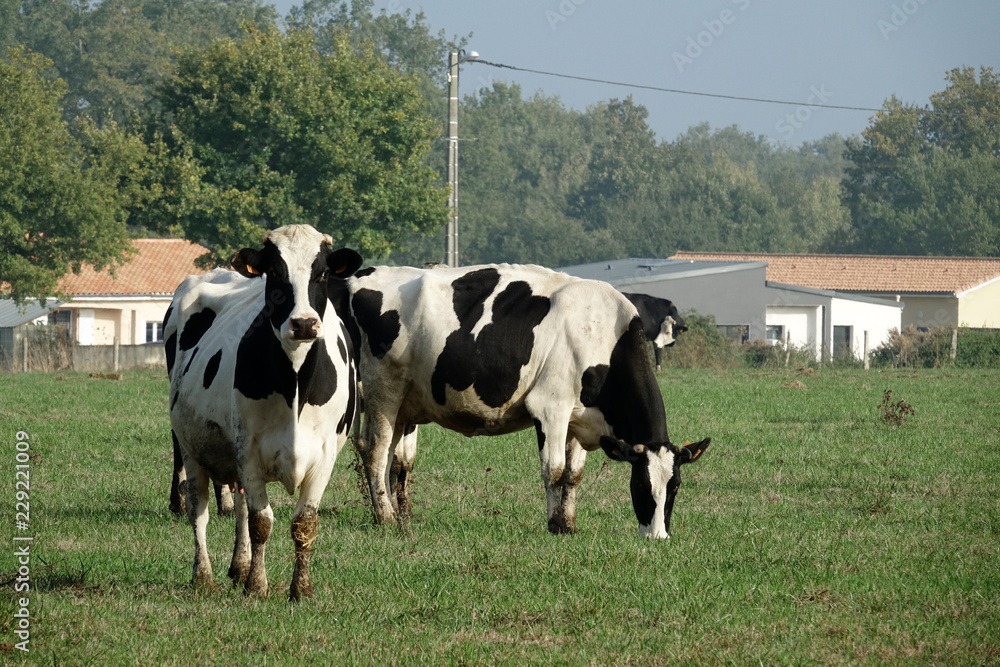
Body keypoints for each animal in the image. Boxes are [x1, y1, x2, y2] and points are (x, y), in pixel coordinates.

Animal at [164, 226, 364, 600]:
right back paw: (204, 576)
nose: (303, 324)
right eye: (274, 272)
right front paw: (257, 586)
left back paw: (238, 566)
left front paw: (301, 589)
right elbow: (262, 522)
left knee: (239, 508)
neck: (296, 382)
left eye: (323, 273)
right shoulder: (249, 451)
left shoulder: (325, 456)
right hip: (191, 447)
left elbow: (304, 523)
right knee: (199, 511)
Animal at [338, 264, 712, 540]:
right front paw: (555, 525)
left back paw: (395, 516)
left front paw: (569, 523)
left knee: (394, 460)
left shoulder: (578, 418)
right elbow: (554, 470)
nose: (658, 536)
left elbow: (573, 475)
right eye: (640, 484)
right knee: (375, 452)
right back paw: (386, 519)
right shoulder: (550, 408)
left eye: (675, 486)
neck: (602, 333)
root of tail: (362, 275)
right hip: (383, 389)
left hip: (404, 404)